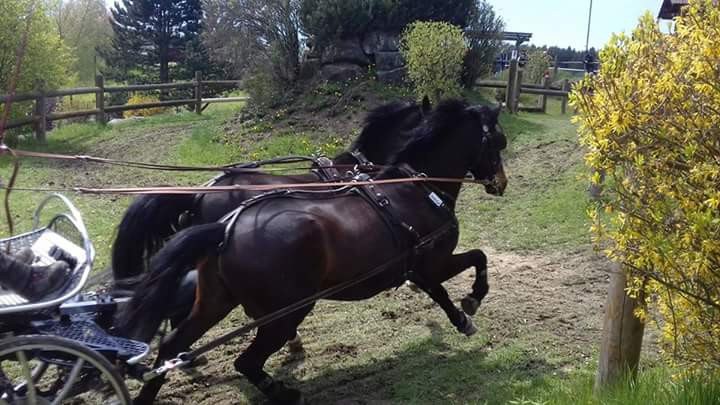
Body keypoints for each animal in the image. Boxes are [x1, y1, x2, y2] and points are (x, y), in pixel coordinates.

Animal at [119, 99, 506, 402]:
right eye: (498, 142)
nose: (500, 183)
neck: (415, 186)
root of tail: (224, 228)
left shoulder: (418, 267)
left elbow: (443, 288)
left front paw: (462, 316)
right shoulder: (434, 261)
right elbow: (474, 262)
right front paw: (471, 303)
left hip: (216, 299)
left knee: (173, 341)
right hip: (288, 310)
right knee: (246, 360)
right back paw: (283, 386)